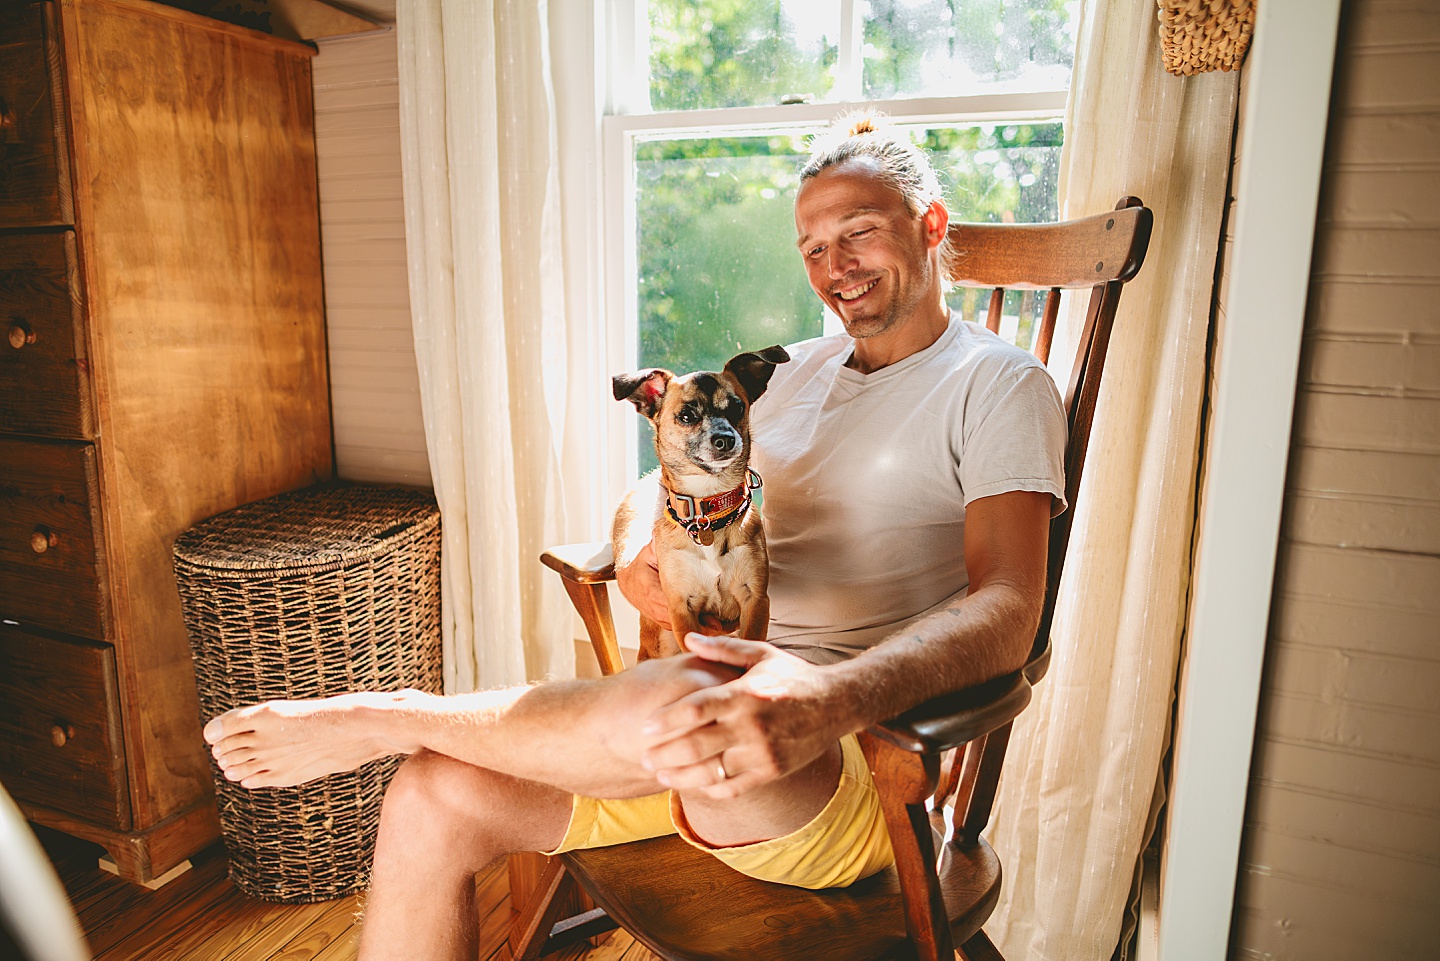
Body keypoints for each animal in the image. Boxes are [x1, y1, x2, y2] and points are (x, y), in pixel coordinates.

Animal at [607, 345, 789, 662]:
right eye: (686, 416)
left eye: (737, 407)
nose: (725, 439)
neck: (708, 510)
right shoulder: (682, 609)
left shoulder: (755, 600)